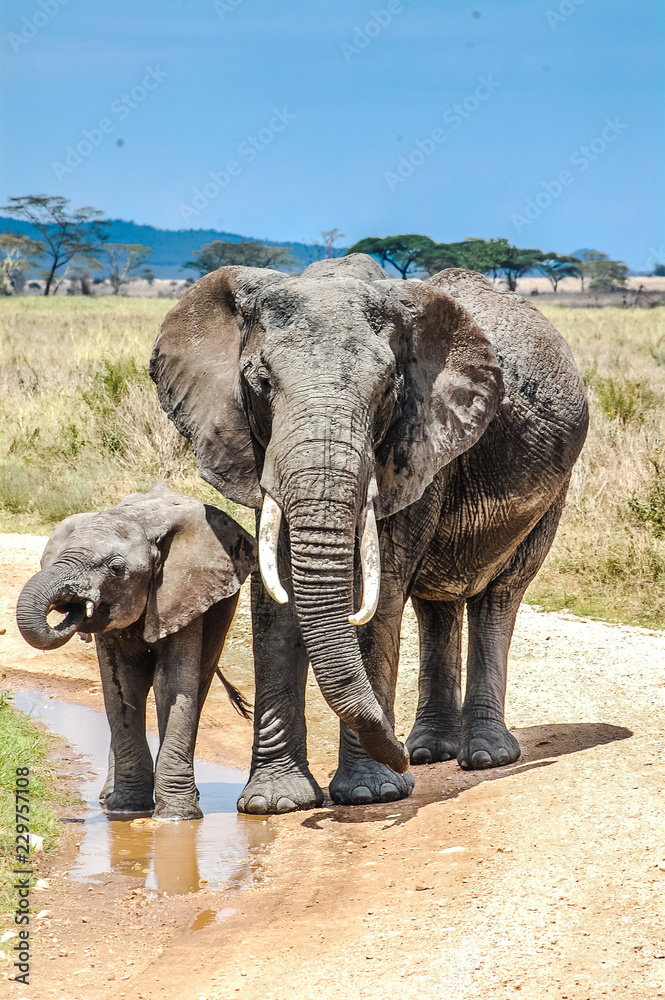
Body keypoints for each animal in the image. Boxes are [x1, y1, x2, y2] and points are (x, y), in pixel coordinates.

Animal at [16, 483, 255, 820]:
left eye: (116, 569)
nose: (73, 607)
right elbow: (121, 688)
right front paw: (127, 809)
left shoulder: (182, 590)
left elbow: (172, 684)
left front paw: (176, 816)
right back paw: (107, 798)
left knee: (200, 681)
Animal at [149, 254, 588, 813]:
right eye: (261, 383)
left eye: (386, 391)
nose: (396, 757)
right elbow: (277, 599)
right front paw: (275, 803)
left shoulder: (420, 440)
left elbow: (377, 591)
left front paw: (369, 794)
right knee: (435, 603)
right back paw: (429, 752)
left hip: (554, 490)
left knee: (499, 596)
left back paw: (484, 756)